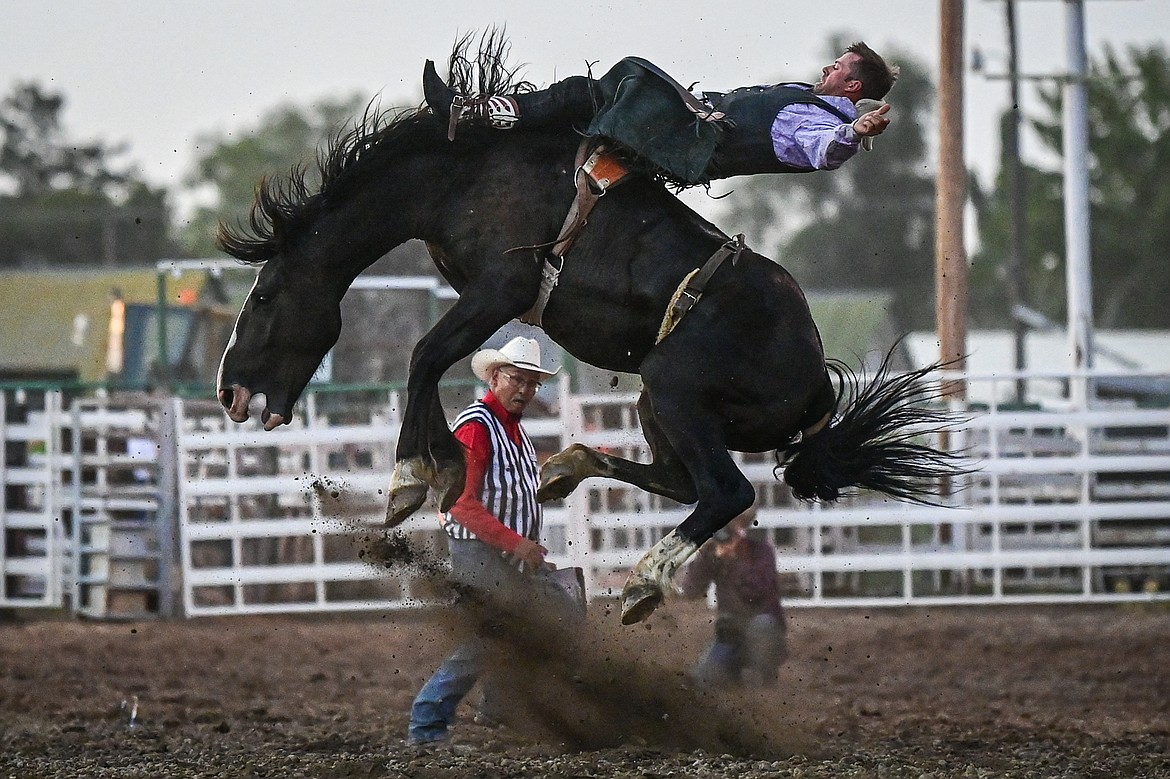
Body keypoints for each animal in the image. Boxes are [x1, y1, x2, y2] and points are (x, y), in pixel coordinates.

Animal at [215, 36, 964, 622]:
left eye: (265, 298)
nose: (229, 392)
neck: (463, 173)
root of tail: (818, 390)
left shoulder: (502, 287)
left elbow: (425, 355)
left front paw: (411, 476)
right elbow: (433, 359)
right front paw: (442, 469)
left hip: (674, 383)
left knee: (728, 490)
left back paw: (642, 581)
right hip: (659, 403)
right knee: (684, 481)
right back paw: (566, 469)